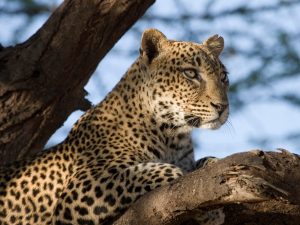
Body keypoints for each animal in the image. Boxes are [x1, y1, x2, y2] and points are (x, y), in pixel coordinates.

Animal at [0, 28, 229, 225]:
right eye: (190, 73)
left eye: (223, 77)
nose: (223, 106)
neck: (173, 135)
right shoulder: (81, 188)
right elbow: (160, 171)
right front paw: (209, 210)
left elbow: (208, 162)